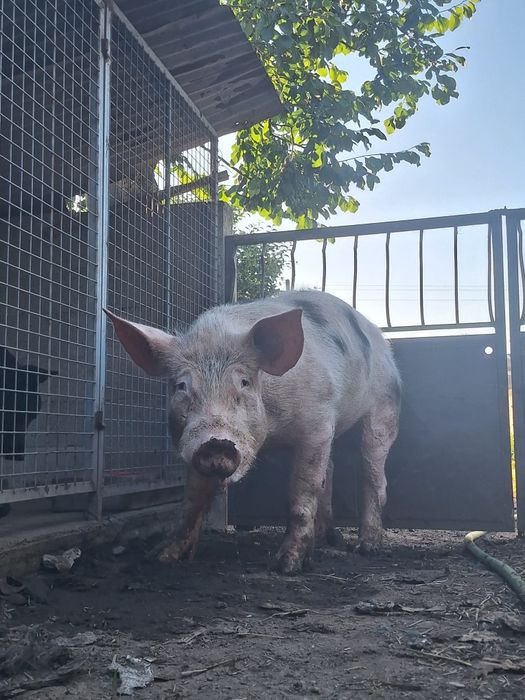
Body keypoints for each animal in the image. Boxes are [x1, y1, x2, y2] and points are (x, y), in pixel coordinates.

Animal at [105, 290, 401, 574]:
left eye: (244, 382)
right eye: (181, 386)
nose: (217, 443)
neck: (273, 428)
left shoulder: (318, 422)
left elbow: (302, 491)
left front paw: (286, 566)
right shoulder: (191, 443)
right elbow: (192, 499)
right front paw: (161, 557)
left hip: (386, 404)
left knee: (373, 472)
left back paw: (367, 547)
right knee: (330, 470)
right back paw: (330, 541)